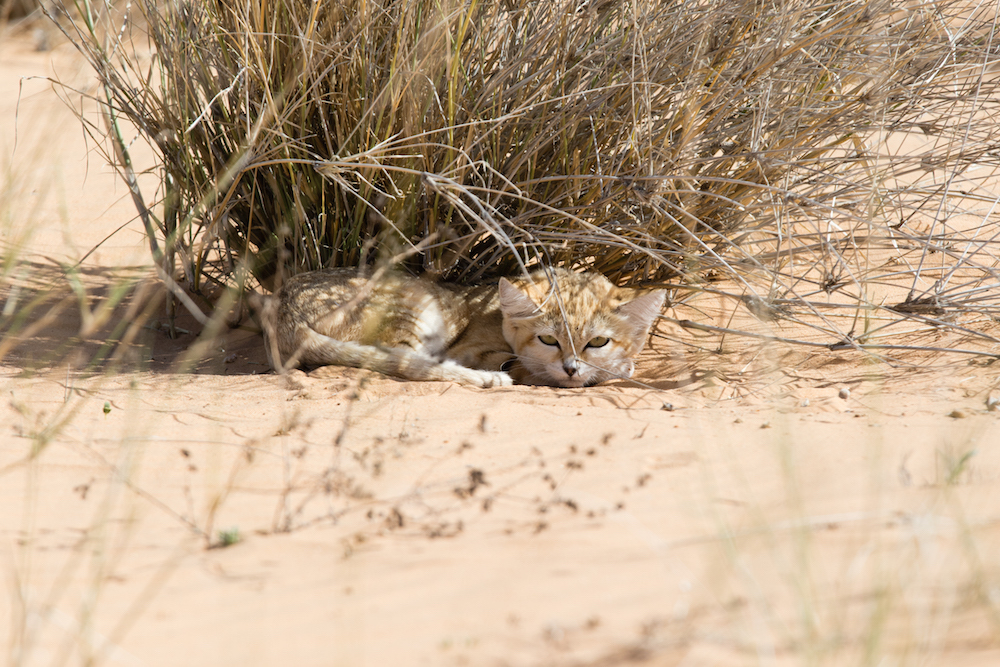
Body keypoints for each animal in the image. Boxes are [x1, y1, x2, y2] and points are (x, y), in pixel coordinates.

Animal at [262, 268, 664, 388]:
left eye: (598, 341)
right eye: (548, 339)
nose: (571, 369)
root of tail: (283, 309)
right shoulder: (474, 349)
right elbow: (526, 367)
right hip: (418, 304)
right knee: (410, 363)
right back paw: (487, 380)